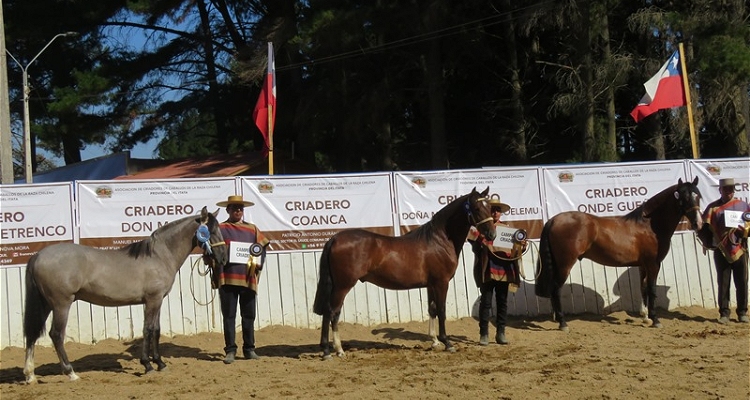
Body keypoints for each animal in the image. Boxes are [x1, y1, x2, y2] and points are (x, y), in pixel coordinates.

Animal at [24, 205, 229, 382]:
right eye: (211, 231)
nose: (223, 258)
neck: (159, 256)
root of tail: (38, 256)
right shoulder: (152, 300)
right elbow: (147, 330)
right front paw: (148, 365)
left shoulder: (158, 300)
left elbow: (156, 330)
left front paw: (160, 363)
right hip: (61, 304)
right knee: (56, 335)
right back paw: (71, 373)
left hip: (45, 304)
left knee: (33, 334)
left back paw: (30, 375)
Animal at [312, 188, 500, 360]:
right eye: (476, 208)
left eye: (490, 207)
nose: (492, 234)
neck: (439, 240)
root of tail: (334, 239)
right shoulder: (442, 282)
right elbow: (441, 310)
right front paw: (447, 343)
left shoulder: (431, 285)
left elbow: (432, 309)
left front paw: (435, 342)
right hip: (342, 286)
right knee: (331, 312)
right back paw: (332, 350)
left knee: (332, 313)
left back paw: (332, 349)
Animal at [536, 178, 704, 332]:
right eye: (684, 197)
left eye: (698, 196)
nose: (698, 223)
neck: (649, 226)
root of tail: (553, 220)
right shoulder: (653, 264)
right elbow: (652, 289)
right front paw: (655, 320)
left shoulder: (643, 265)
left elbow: (643, 288)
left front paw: (645, 317)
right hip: (565, 264)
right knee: (556, 289)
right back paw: (563, 323)